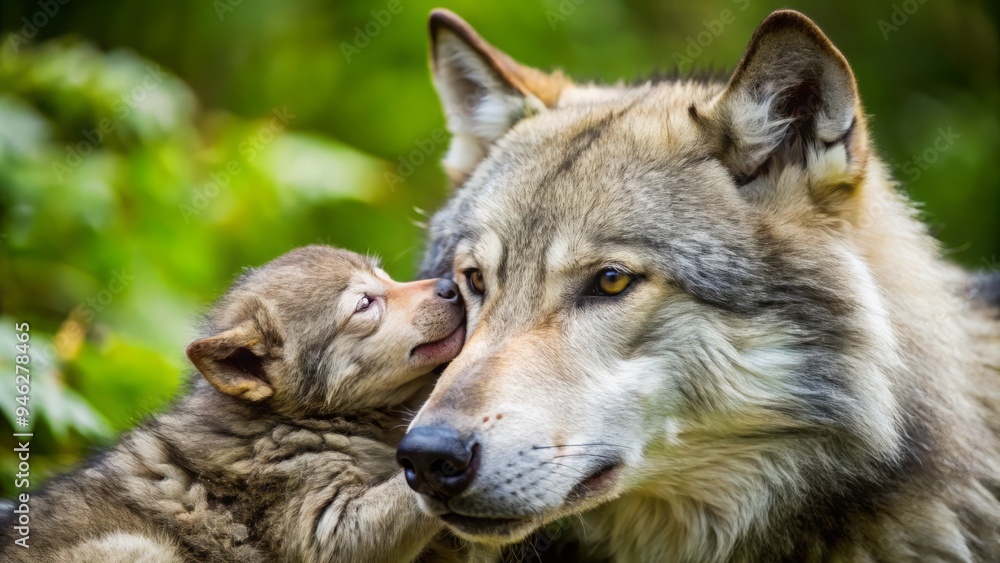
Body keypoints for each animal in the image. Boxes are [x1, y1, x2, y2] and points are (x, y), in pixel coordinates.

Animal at [1, 246, 467, 562]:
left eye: (388, 277)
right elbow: (402, 494)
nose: (452, 286)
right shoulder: (324, 530)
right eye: (365, 303)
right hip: (137, 547)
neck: (291, 420)